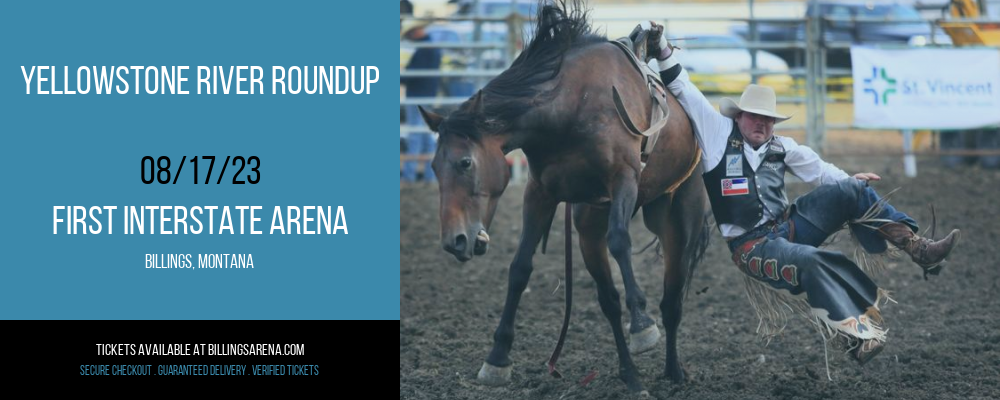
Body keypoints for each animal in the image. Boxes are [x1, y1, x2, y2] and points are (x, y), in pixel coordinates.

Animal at [418, 0, 716, 394]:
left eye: (465, 162)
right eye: (434, 168)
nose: (455, 241)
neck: (570, 106)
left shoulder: (624, 178)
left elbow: (620, 241)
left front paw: (641, 324)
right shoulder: (539, 193)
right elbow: (520, 267)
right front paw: (497, 358)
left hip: (680, 219)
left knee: (671, 301)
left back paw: (673, 370)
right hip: (589, 226)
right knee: (609, 300)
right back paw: (631, 375)